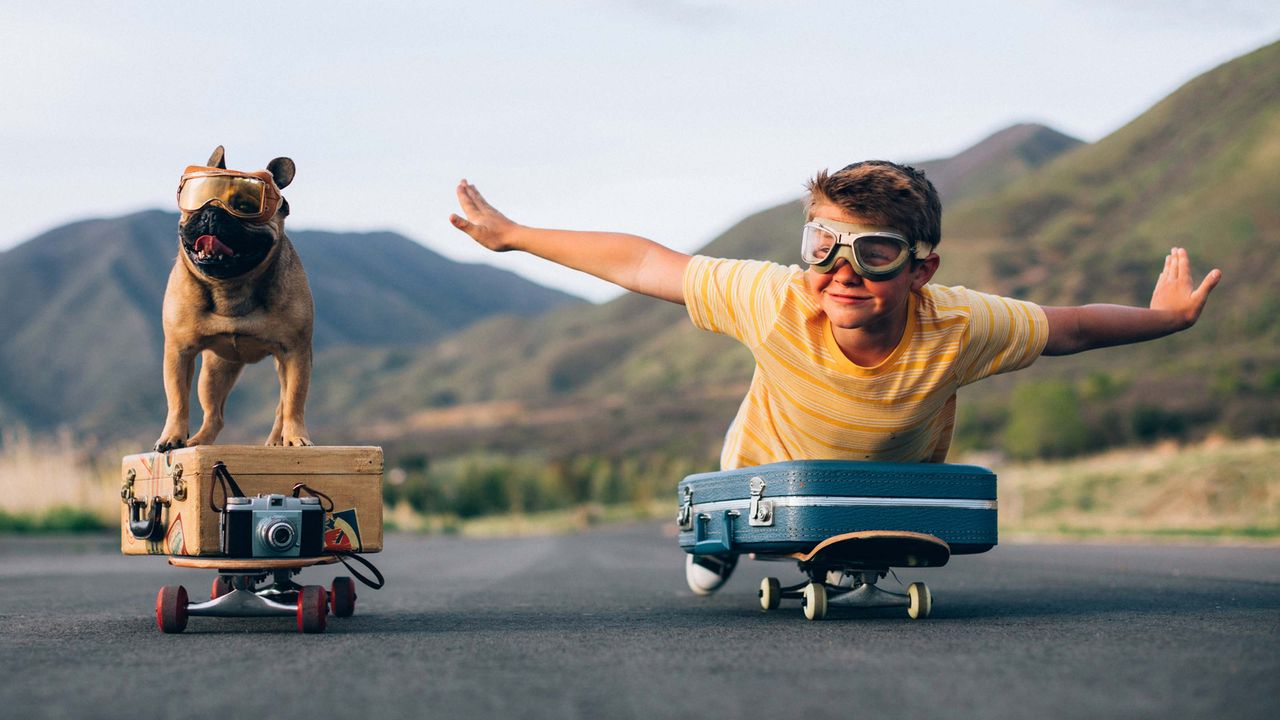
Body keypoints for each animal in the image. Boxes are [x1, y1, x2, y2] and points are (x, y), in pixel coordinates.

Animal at [153, 144, 313, 448]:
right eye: (197, 199)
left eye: (245, 207)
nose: (211, 212)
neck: (231, 286)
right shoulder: (179, 351)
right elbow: (177, 399)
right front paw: (172, 436)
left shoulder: (295, 352)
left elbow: (295, 401)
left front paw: (296, 437)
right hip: (215, 372)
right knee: (214, 415)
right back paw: (197, 442)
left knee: (282, 406)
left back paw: (277, 441)